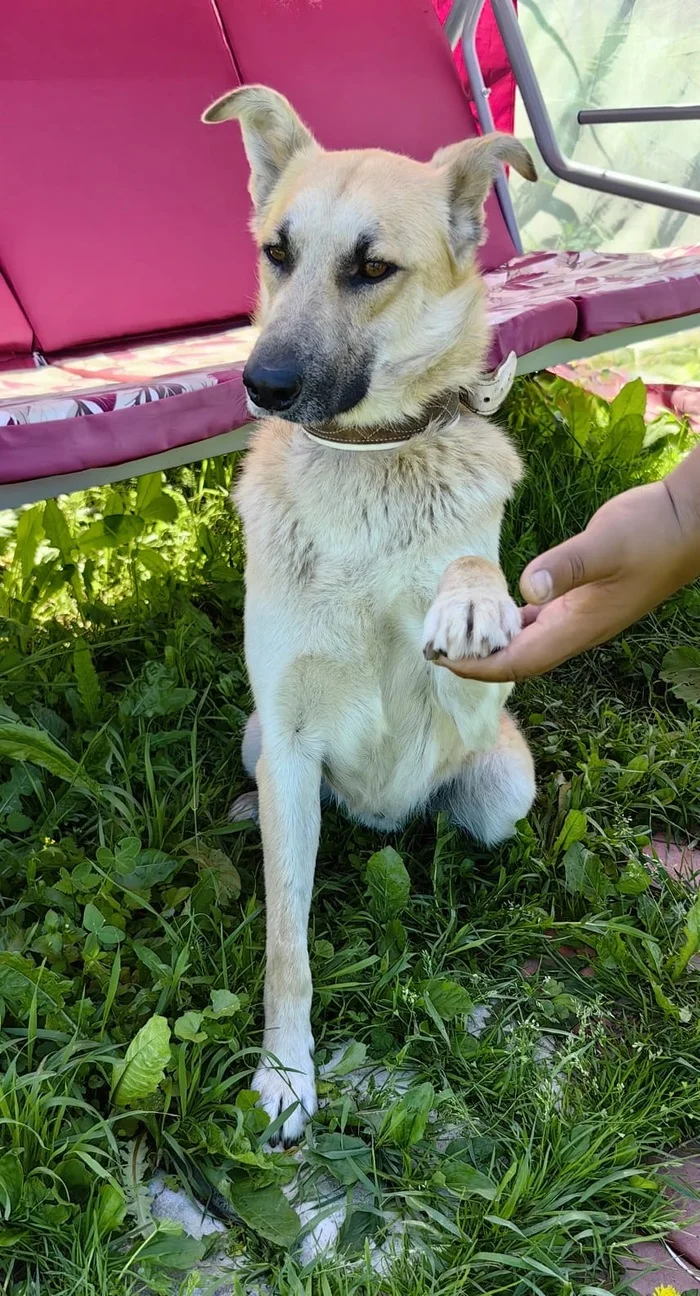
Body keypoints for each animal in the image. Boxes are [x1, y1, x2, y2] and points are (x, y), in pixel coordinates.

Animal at [202, 86, 536, 1145]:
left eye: (372, 267)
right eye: (276, 252)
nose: (261, 384)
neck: (369, 464)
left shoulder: (475, 692)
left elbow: (468, 570)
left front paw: (469, 592)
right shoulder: (290, 735)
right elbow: (286, 948)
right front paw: (285, 1075)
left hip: (504, 787)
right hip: (262, 744)